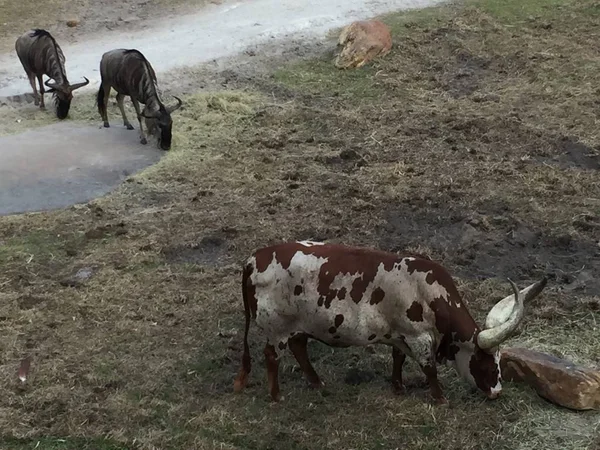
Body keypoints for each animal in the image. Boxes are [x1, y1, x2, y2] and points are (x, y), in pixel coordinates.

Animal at [234, 241, 548, 402]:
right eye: (487, 364)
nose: (497, 392)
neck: (430, 293)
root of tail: (254, 258)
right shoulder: (418, 337)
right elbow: (429, 368)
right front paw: (439, 397)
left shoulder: (400, 334)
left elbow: (398, 357)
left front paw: (398, 386)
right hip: (277, 329)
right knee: (272, 356)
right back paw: (276, 395)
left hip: (300, 325)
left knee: (299, 347)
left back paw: (317, 382)